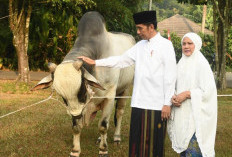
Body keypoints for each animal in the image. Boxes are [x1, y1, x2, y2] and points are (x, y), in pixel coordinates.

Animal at [31, 11, 135, 156]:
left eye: (81, 90)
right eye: (62, 97)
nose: (76, 115)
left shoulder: (109, 95)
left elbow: (103, 125)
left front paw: (103, 150)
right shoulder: (76, 107)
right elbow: (76, 127)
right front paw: (75, 151)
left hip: (125, 89)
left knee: (119, 113)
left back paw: (116, 137)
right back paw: (100, 139)